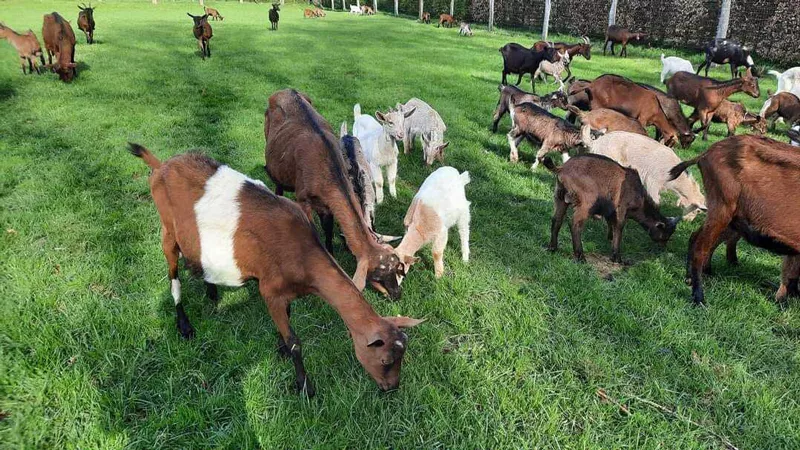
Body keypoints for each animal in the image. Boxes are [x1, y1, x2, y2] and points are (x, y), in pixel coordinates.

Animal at [128, 142, 422, 396]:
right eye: (385, 360)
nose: (391, 387)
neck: (302, 254)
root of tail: (162, 165)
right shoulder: (269, 290)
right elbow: (295, 342)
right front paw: (304, 386)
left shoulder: (287, 292)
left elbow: (288, 320)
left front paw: (280, 348)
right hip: (167, 230)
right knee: (173, 274)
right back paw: (184, 325)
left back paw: (211, 291)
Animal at [266, 88, 410, 298]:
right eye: (377, 273)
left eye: (396, 266)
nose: (397, 294)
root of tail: (285, 90)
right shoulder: (303, 199)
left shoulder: (328, 204)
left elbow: (328, 229)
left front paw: (332, 256)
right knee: (277, 183)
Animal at [540, 154, 680, 264]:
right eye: (665, 235)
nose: (662, 248)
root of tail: (561, 169)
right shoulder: (621, 208)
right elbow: (619, 227)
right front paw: (617, 257)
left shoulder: (610, 211)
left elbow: (611, 224)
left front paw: (610, 238)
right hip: (586, 202)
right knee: (575, 224)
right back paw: (580, 256)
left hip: (560, 197)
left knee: (556, 220)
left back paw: (552, 248)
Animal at [580, 125, 708, 221]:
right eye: (698, 210)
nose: (687, 221)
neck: (675, 176)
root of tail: (596, 143)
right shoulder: (653, 182)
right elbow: (656, 202)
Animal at [668, 134, 800, 306]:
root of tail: (706, 153)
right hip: (722, 208)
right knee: (700, 246)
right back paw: (699, 298)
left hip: (728, 216)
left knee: (696, 237)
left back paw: (692, 277)